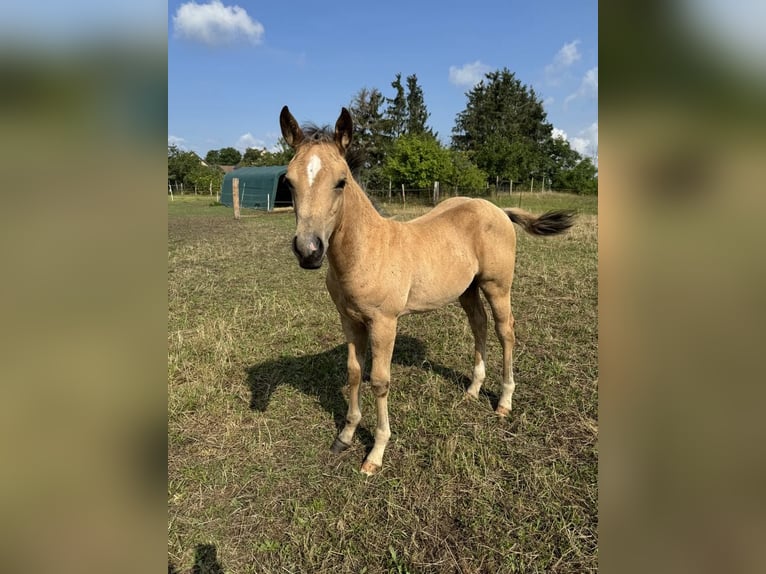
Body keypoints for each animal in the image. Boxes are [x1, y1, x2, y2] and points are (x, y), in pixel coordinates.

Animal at [280, 107, 572, 476]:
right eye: (289, 182)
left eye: (341, 181)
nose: (309, 251)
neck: (368, 250)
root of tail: (497, 210)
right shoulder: (349, 319)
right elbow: (354, 373)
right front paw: (344, 436)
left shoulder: (384, 322)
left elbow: (379, 381)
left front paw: (376, 453)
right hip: (467, 289)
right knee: (479, 325)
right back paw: (472, 390)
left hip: (497, 286)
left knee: (505, 331)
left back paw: (504, 402)